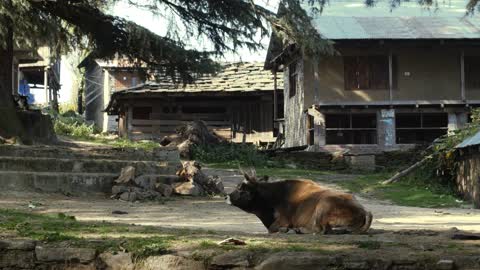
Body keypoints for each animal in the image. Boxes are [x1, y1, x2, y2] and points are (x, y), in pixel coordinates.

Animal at [227, 169, 374, 234]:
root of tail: (363, 211)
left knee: (321, 229)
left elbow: (272, 228)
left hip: (323, 205)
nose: (226, 197)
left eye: (241, 187)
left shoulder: (284, 220)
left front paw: (287, 229)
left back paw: (299, 229)